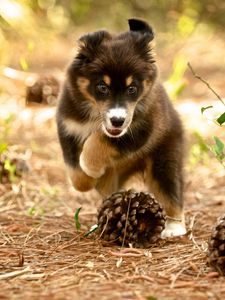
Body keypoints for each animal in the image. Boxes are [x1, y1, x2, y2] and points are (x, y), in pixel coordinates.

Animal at [56, 19, 186, 239]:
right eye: (102, 87)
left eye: (132, 89)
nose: (117, 120)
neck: (95, 115)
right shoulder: (68, 128)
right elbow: (75, 171)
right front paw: (87, 180)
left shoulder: (141, 130)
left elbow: (100, 141)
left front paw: (90, 166)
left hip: (165, 160)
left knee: (170, 191)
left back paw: (174, 227)